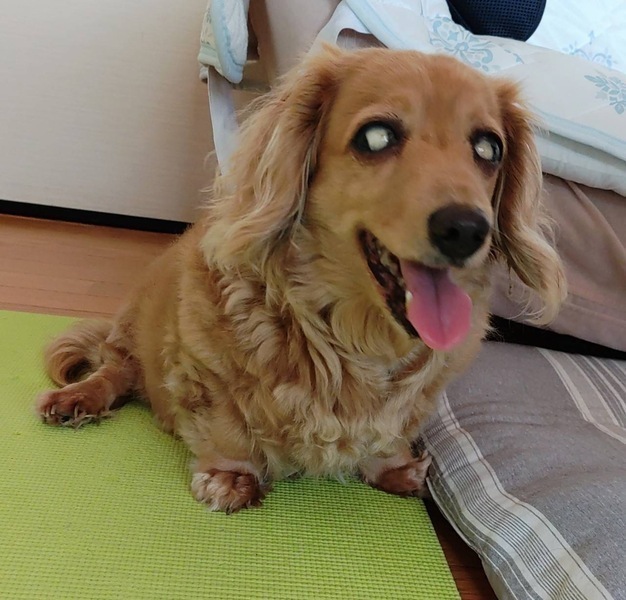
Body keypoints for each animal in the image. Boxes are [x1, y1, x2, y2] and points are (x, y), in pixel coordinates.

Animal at [36, 46, 565, 513]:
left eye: (489, 148)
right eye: (376, 137)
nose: (468, 229)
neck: (356, 340)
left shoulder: (422, 393)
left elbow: (393, 431)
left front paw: (394, 467)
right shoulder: (202, 363)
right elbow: (227, 424)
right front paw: (231, 476)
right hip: (132, 330)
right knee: (116, 370)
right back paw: (77, 398)